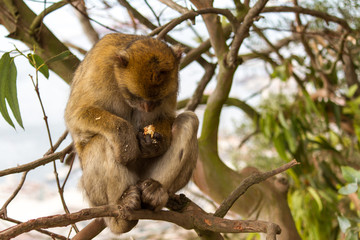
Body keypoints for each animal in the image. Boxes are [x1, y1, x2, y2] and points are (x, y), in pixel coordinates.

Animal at [65, 32, 200, 233]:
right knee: (101, 141)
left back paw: (156, 191)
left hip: (144, 177)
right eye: (136, 96)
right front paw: (126, 139)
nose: (147, 107)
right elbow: (75, 116)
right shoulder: (98, 69)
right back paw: (121, 209)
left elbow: (168, 116)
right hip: (95, 197)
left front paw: (155, 144)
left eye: (157, 100)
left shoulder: (172, 87)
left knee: (188, 121)